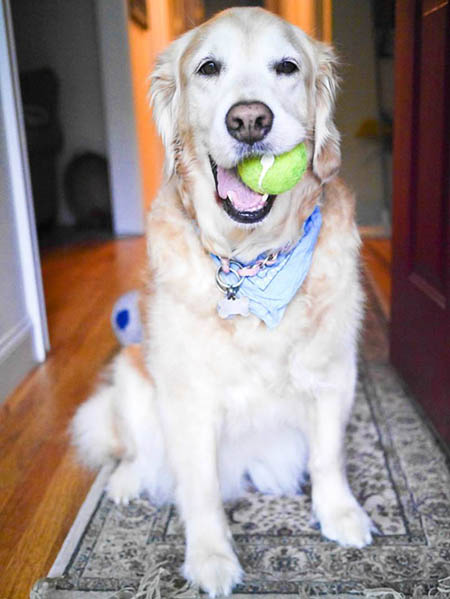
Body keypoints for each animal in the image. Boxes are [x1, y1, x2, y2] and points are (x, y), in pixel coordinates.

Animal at [72, 7, 374, 596]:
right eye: (209, 67)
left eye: (287, 67)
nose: (250, 120)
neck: (251, 263)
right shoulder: (188, 397)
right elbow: (201, 487)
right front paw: (211, 556)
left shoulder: (333, 373)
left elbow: (328, 456)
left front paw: (340, 513)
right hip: (132, 378)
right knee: (135, 447)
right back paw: (126, 480)